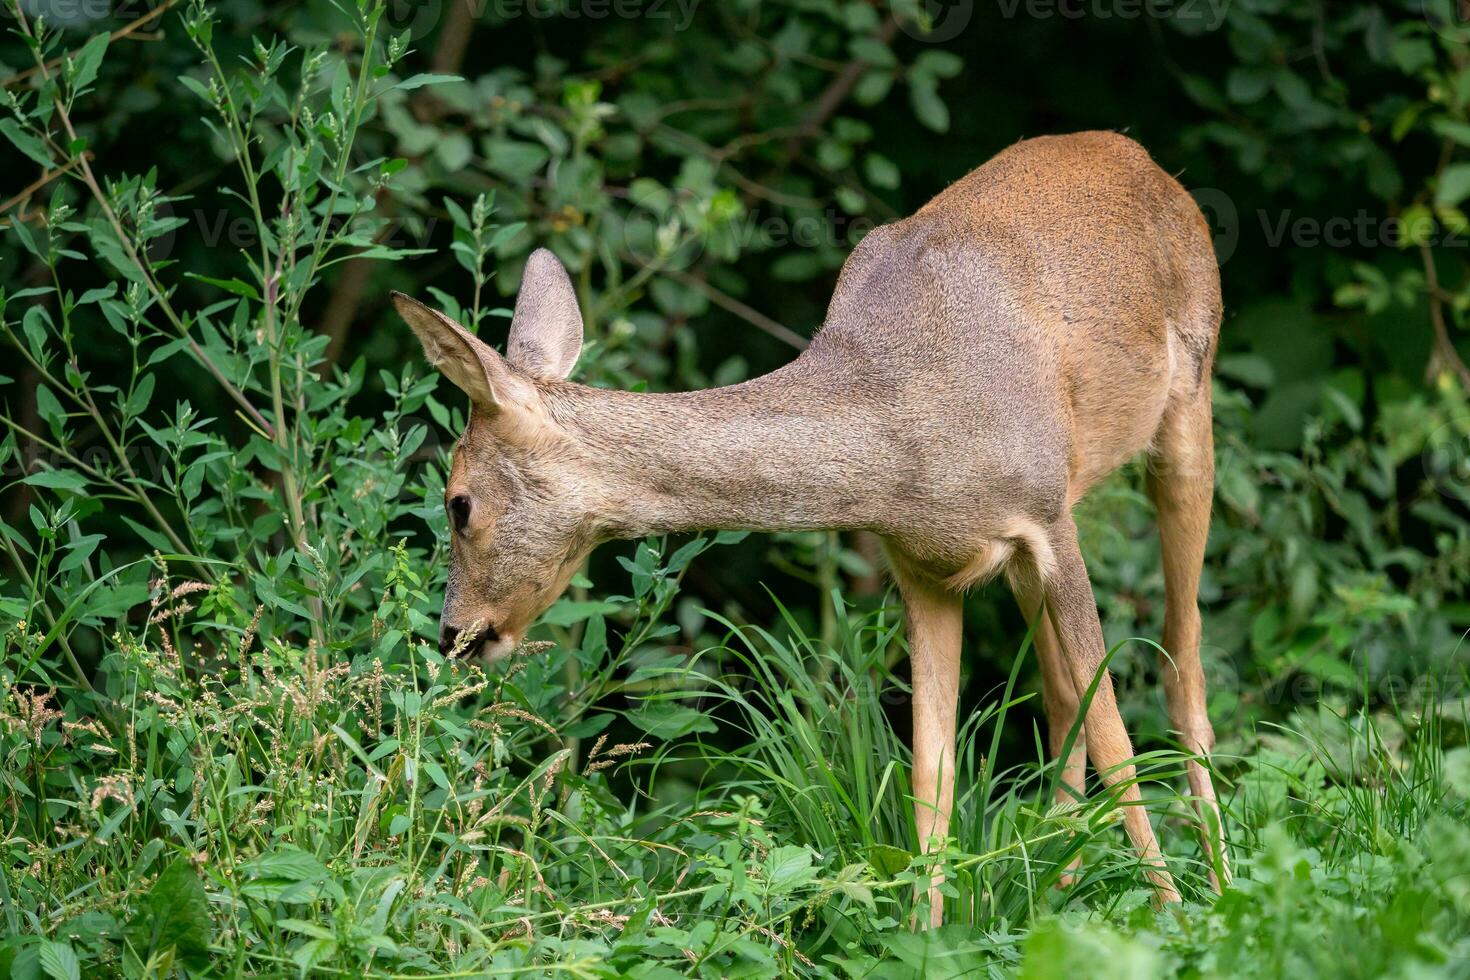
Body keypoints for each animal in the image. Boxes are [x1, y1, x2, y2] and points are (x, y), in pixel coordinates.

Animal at [393, 132, 1228, 928]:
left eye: (457, 502)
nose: (455, 634)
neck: (908, 436)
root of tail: (1140, 158)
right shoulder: (925, 563)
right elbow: (934, 770)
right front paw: (926, 935)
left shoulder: (1047, 519)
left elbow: (1117, 733)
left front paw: (1176, 916)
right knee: (1059, 697)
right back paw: (1059, 878)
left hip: (1187, 409)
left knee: (1182, 657)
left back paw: (1215, 877)